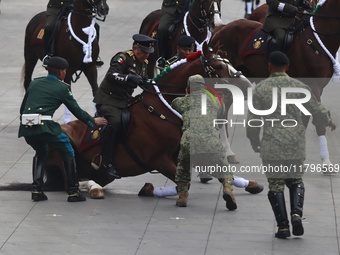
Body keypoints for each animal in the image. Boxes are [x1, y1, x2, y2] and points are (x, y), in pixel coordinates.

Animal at [211, 0, 338, 165]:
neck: (315, 40)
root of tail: (222, 28)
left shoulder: (315, 89)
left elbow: (304, 120)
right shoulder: (313, 87)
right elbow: (319, 121)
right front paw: (326, 163)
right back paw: (227, 152)